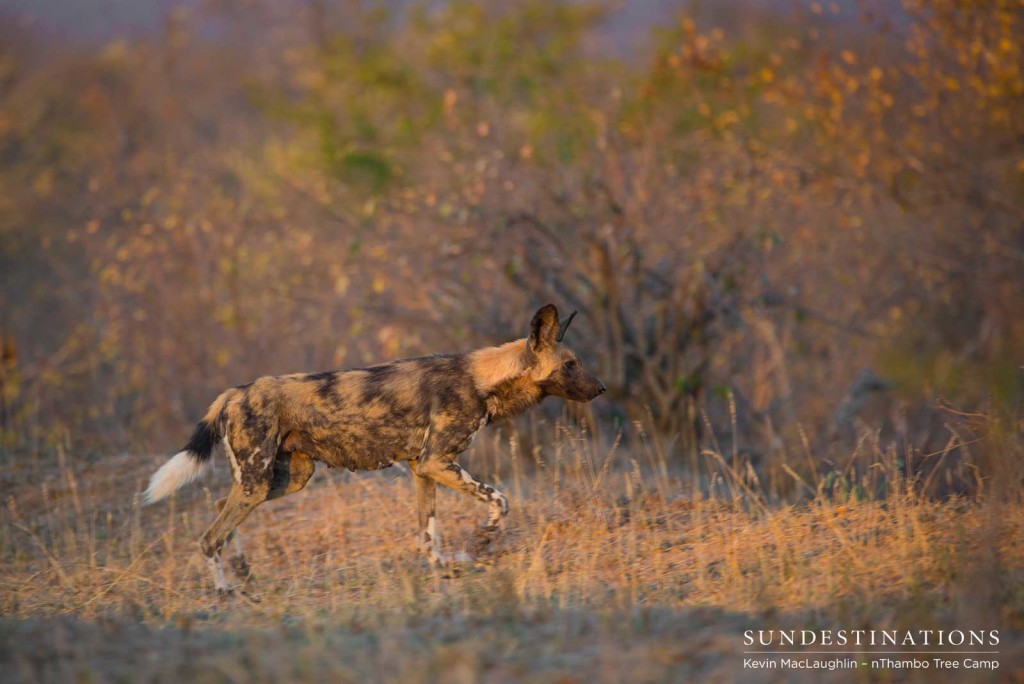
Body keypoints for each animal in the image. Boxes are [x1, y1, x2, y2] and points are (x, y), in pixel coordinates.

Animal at [144, 305, 606, 593]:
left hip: (284, 479)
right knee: (209, 537)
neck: (483, 379)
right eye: (570, 365)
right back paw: (226, 592)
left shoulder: (424, 469)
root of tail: (233, 392)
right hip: (260, 480)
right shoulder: (439, 462)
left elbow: (428, 535)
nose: (602, 388)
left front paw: (446, 568)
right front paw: (480, 541)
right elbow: (501, 502)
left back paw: (243, 574)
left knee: (222, 507)